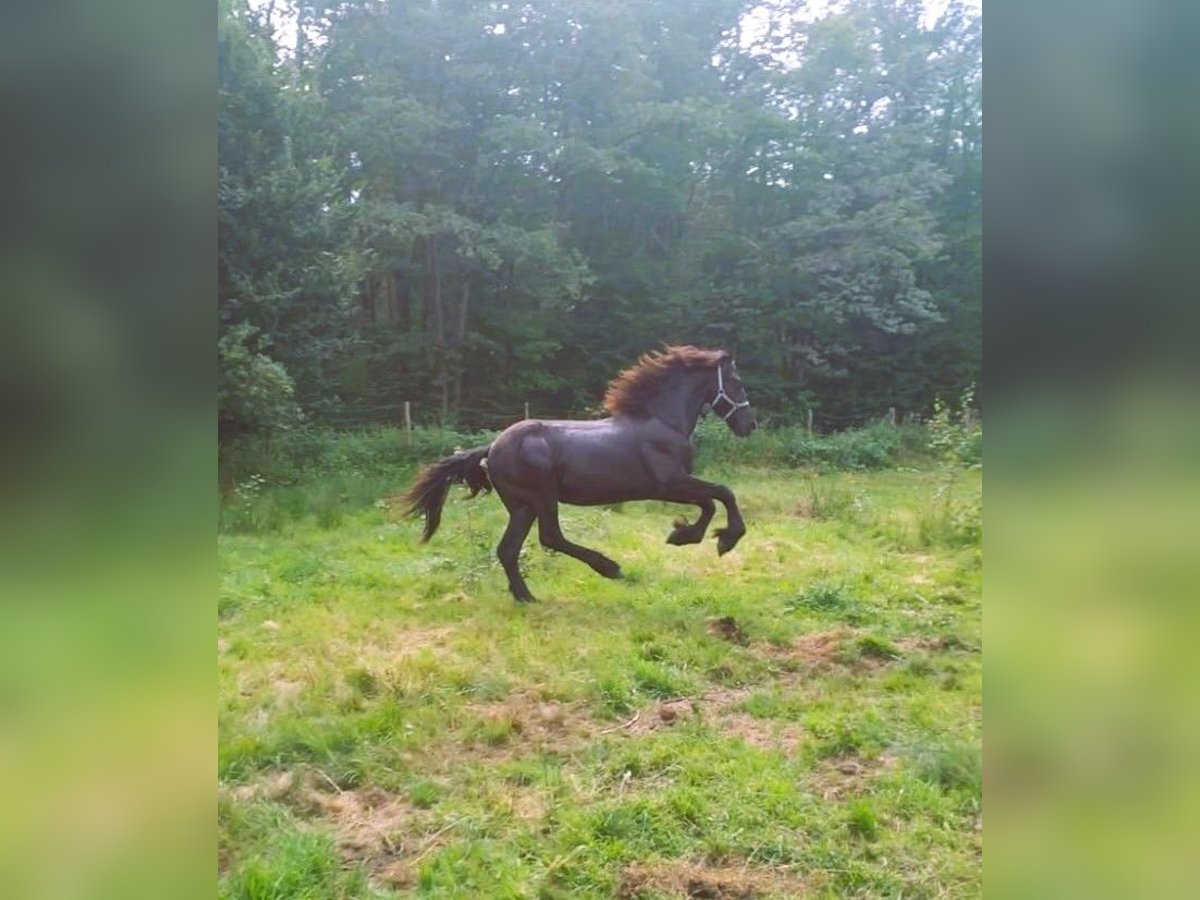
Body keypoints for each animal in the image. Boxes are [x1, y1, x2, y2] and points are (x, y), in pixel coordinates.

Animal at [408, 348, 753, 602]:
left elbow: (711, 502)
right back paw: (609, 568)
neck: (661, 422)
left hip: (522, 506)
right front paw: (722, 539)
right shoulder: (668, 484)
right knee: (550, 537)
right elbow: (722, 493)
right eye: (737, 382)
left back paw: (526, 597)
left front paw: (684, 534)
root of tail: (492, 447)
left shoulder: (675, 485)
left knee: (508, 549)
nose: (750, 425)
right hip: (541, 497)